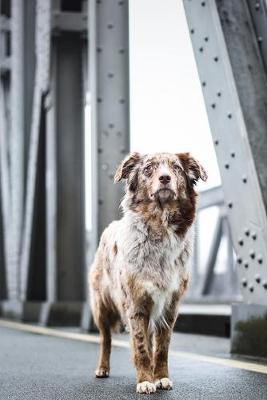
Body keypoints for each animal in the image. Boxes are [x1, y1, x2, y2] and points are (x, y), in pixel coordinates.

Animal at [89, 152, 208, 394]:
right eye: (148, 168)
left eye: (176, 167)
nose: (165, 178)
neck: (160, 225)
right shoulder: (136, 305)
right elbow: (142, 347)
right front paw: (145, 381)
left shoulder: (169, 306)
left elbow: (161, 349)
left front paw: (160, 378)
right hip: (101, 307)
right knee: (105, 339)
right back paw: (103, 368)